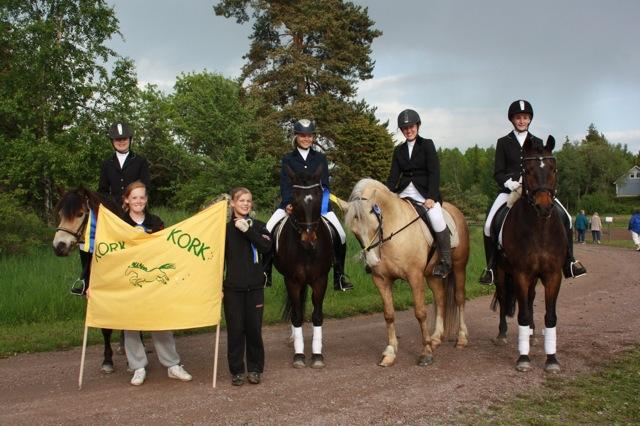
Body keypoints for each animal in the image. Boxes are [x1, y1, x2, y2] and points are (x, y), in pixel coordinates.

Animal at [274, 166, 332, 370]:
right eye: (295, 198)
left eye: (319, 195)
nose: (309, 240)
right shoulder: (292, 280)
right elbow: (297, 315)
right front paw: (299, 355)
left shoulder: (320, 280)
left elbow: (317, 316)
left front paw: (317, 354)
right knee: (295, 307)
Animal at [340, 178, 470, 368]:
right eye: (354, 231)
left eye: (375, 225)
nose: (372, 262)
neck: (393, 231)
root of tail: (455, 211)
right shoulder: (381, 280)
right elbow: (389, 315)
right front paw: (390, 353)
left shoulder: (414, 277)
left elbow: (420, 313)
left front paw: (426, 353)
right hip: (432, 275)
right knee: (441, 298)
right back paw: (436, 338)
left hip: (459, 267)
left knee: (459, 298)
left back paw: (461, 339)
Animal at [492, 136, 568, 372]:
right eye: (527, 170)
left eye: (553, 169)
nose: (544, 207)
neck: (539, 228)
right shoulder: (521, 274)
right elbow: (522, 314)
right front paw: (523, 358)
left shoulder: (553, 275)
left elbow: (551, 316)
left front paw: (551, 359)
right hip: (501, 272)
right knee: (503, 296)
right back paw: (502, 333)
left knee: (531, 298)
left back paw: (533, 333)